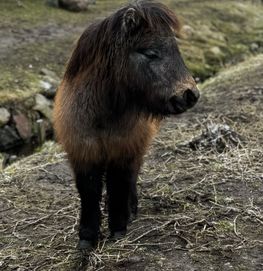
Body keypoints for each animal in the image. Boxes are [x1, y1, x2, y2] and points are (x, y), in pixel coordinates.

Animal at [55, 0, 200, 251]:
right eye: (150, 52)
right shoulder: (83, 154)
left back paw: (131, 210)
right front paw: (87, 237)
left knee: (131, 179)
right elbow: (89, 192)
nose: (189, 95)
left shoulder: (122, 152)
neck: (102, 116)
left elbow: (119, 187)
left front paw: (118, 228)